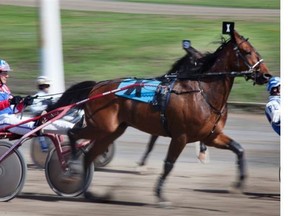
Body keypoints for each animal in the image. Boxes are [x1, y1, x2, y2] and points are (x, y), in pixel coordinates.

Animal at [66, 30, 272, 202]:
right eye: (246, 51)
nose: (266, 75)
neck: (202, 92)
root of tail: (96, 87)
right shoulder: (181, 136)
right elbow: (169, 164)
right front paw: (160, 195)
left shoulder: (211, 136)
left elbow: (239, 149)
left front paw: (238, 184)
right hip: (101, 127)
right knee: (73, 133)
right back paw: (72, 161)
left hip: (112, 131)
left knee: (90, 155)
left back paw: (89, 191)